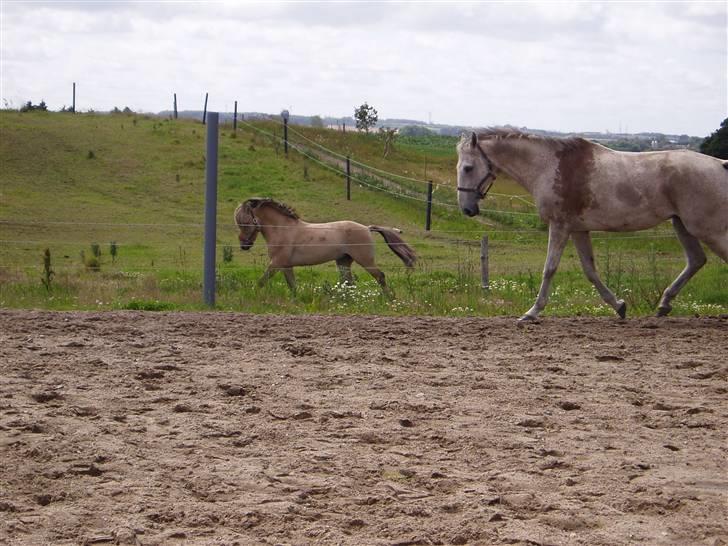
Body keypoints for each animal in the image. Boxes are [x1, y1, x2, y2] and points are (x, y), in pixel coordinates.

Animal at [235, 196, 416, 288]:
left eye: (245, 221)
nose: (244, 245)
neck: (283, 229)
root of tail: (366, 228)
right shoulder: (286, 265)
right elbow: (292, 286)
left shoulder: (276, 263)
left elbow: (261, 282)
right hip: (343, 261)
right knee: (348, 283)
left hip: (365, 260)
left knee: (380, 277)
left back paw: (390, 300)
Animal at [458, 130, 724, 320]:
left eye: (468, 168)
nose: (467, 209)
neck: (548, 167)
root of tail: (721, 164)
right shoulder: (578, 229)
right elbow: (590, 270)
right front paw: (619, 306)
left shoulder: (560, 225)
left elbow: (549, 268)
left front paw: (532, 312)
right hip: (682, 225)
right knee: (696, 260)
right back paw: (663, 305)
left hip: (707, 229)